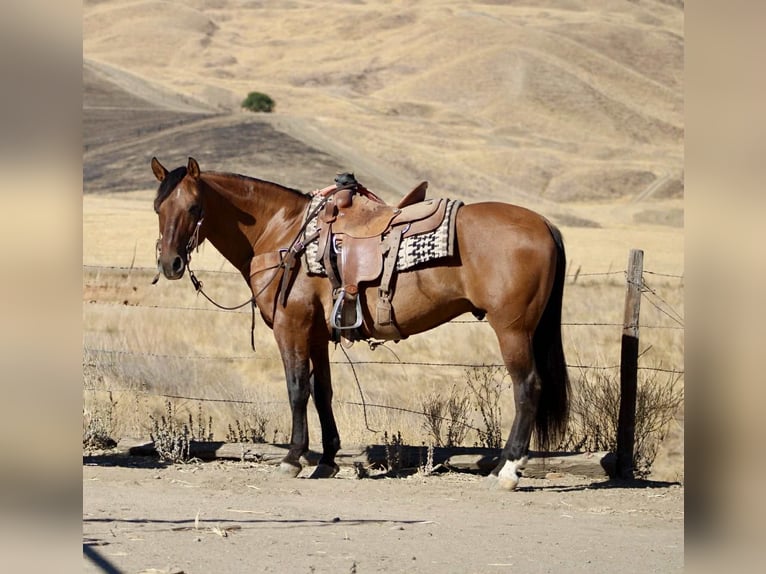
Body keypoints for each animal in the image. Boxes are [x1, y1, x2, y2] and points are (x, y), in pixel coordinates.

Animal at [151, 156, 570, 490]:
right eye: (158, 207)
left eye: (193, 206)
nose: (170, 263)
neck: (283, 234)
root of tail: (544, 224)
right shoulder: (317, 336)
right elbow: (322, 393)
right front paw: (326, 460)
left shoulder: (292, 328)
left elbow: (297, 389)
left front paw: (292, 458)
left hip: (512, 330)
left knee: (527, 388)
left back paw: (508, 469)